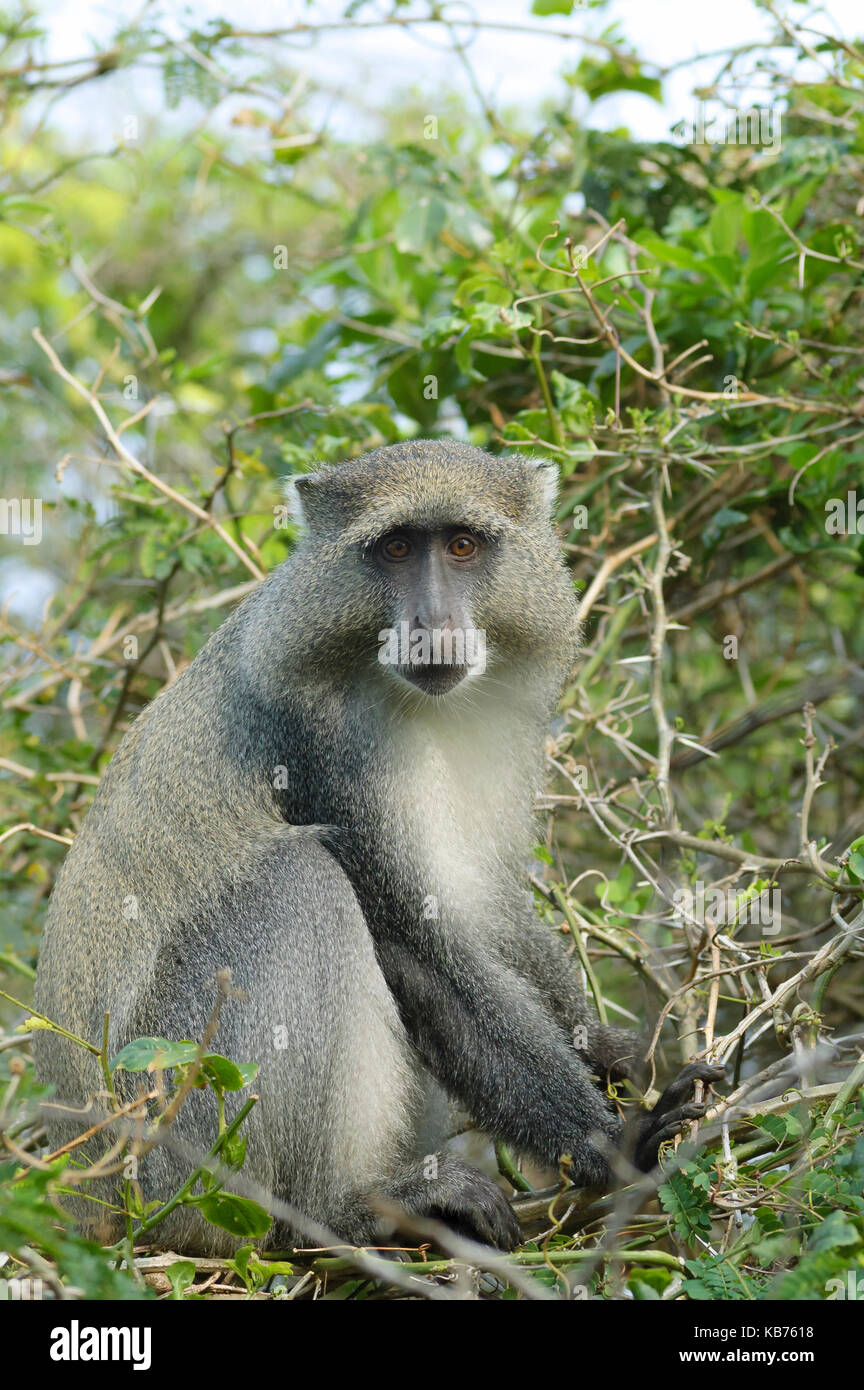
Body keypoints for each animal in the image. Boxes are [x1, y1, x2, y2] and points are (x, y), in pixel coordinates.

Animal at [32, 439, 722, 1256]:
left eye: (462, 545)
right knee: (300, 881)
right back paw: (339, 1214)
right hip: (169, 1136)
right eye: (395, 549)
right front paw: (612, 1146)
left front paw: (617, 1057)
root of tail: (86, 1198)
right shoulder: (322, 741)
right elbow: (421, 949)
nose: (431, 619)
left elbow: (485, 910)